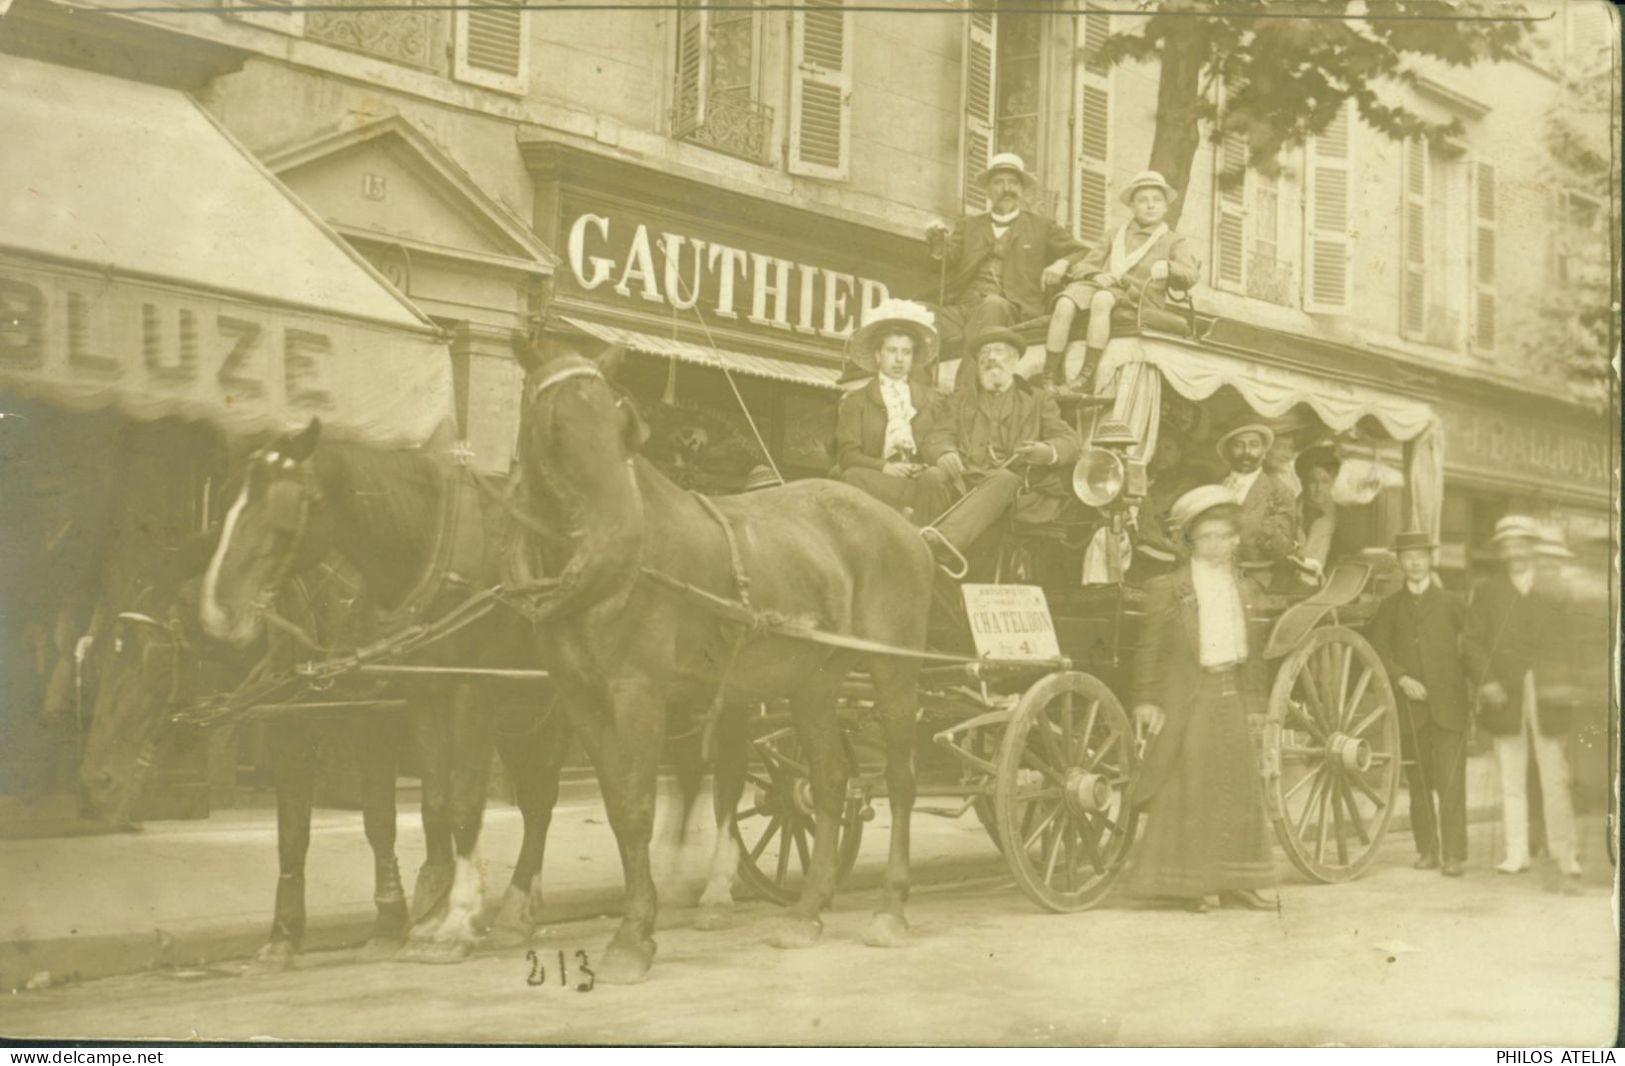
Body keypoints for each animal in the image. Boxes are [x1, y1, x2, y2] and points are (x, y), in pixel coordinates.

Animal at [513, 346, 936, 988]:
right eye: (555, 428)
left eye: (622, 426)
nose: (616, 549)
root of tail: (905, 527)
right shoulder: (580, 697)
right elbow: (617, 805)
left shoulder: (640, 691)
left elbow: (637, 806)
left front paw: (634, 936)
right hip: (813, 683)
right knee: (830, 782)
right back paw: (807, 911)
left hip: (894, 673)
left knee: (901, 780)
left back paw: (891, 908)